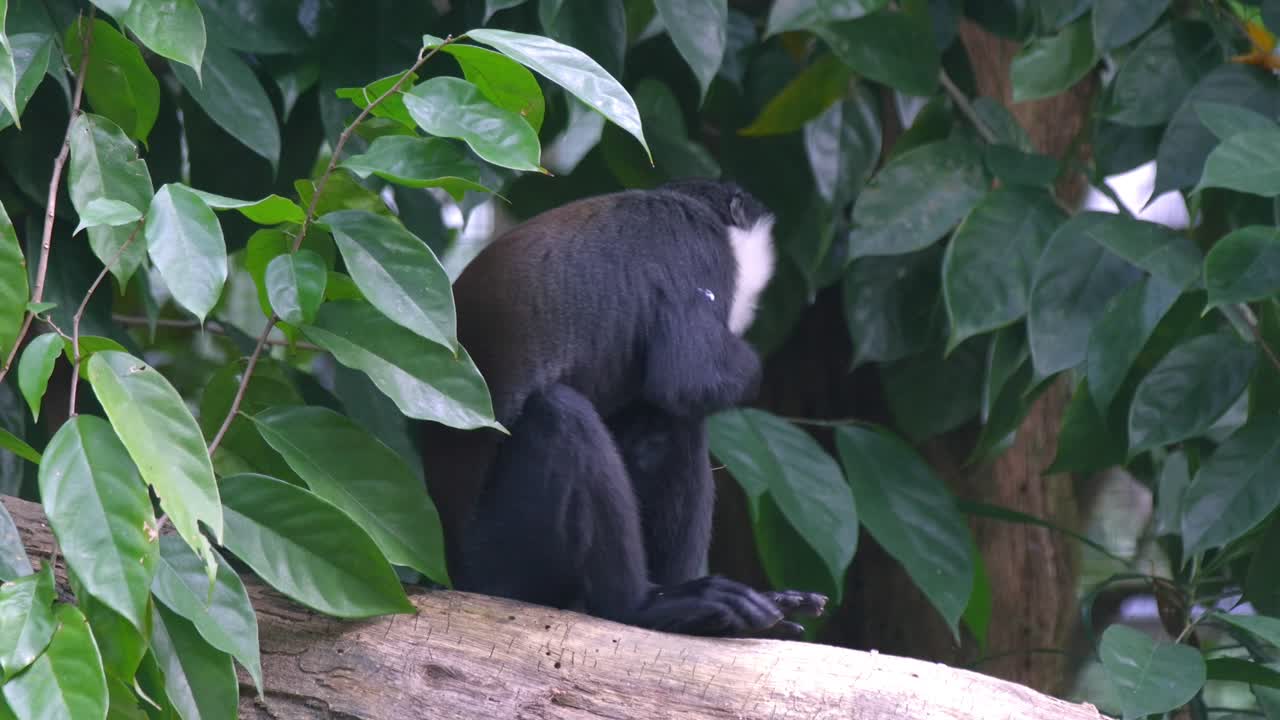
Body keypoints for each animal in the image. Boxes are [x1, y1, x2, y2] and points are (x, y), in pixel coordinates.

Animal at [421, 179, 827, 638]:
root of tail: (451, 571)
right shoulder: (699, 252)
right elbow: (690, 378)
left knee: (662, 424)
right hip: (500, 558)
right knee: (566, 415)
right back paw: (644, 607)